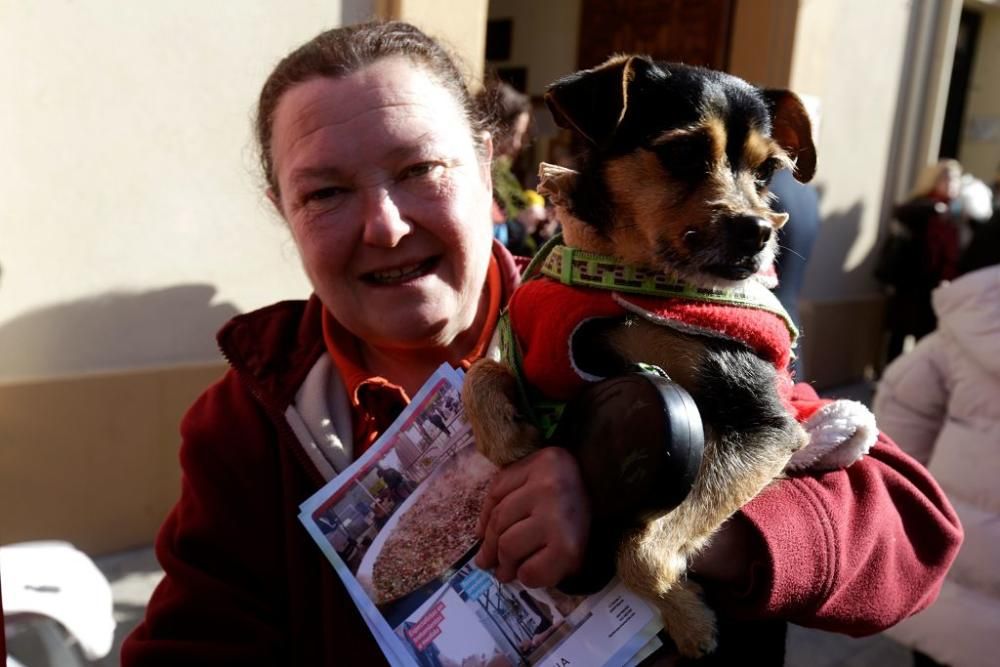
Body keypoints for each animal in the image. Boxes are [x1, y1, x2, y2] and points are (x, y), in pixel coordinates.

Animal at [464, 56, 824, 656]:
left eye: (769, 172)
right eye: (682, 153)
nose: (758, 229)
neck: (614, 272)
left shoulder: (764, 428)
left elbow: (641, 551)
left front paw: (688, 618)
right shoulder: (531, 355)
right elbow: (483, 369)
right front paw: (507, 437)